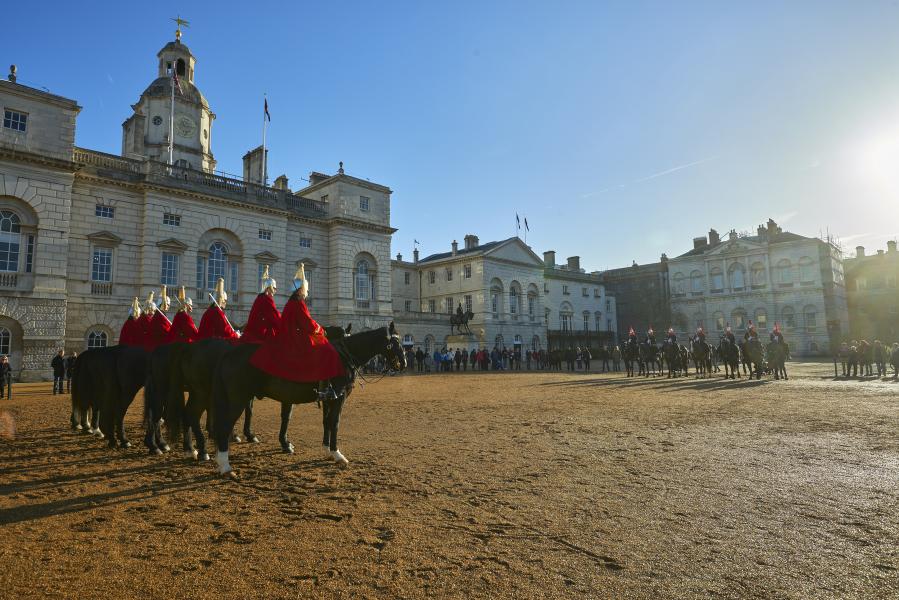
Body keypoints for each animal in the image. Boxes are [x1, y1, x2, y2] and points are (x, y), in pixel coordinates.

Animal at [214, 324, 404, 478]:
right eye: (395, 343)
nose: (403, 364)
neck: (344, 356)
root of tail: (229, 353)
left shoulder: (328, 398)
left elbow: (326, 422)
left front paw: (327, 449)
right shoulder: (339, 397)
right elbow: (335, 422)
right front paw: (337, 454)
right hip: (238, 399)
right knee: (224, 426)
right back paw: (225, 465)